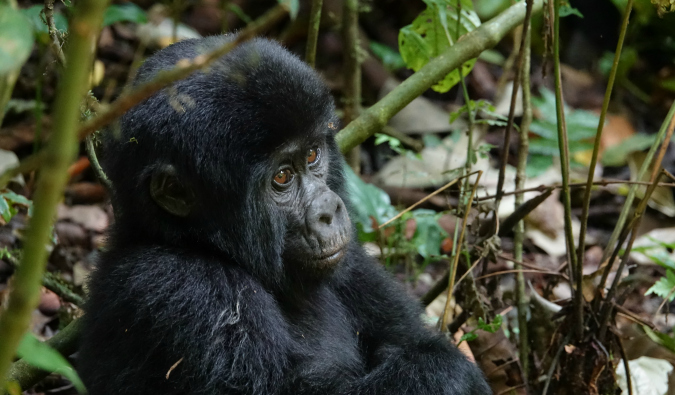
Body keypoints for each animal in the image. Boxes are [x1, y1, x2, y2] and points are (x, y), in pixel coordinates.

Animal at [79, 34, 492, 395]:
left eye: (312, 154)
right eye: (281, 177)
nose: (330, 211)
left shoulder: (353, 261)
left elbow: (414, 339)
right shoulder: (180, 287)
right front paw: (447, 370)